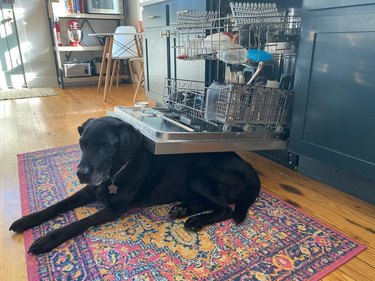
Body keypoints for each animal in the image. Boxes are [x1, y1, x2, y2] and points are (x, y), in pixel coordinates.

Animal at [9, 116, 262, 254]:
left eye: (105, 145)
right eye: (82, 143)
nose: (81, 173)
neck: (115, 174)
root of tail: (250, 168)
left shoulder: (113, 209)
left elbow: (79, 222)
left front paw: (47, 239)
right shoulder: (89, 190)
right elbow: (57, 205)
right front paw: (26, 220)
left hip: (198, 174)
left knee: (225, 208)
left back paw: (196, 220)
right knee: (210, 203)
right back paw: (183, 209)